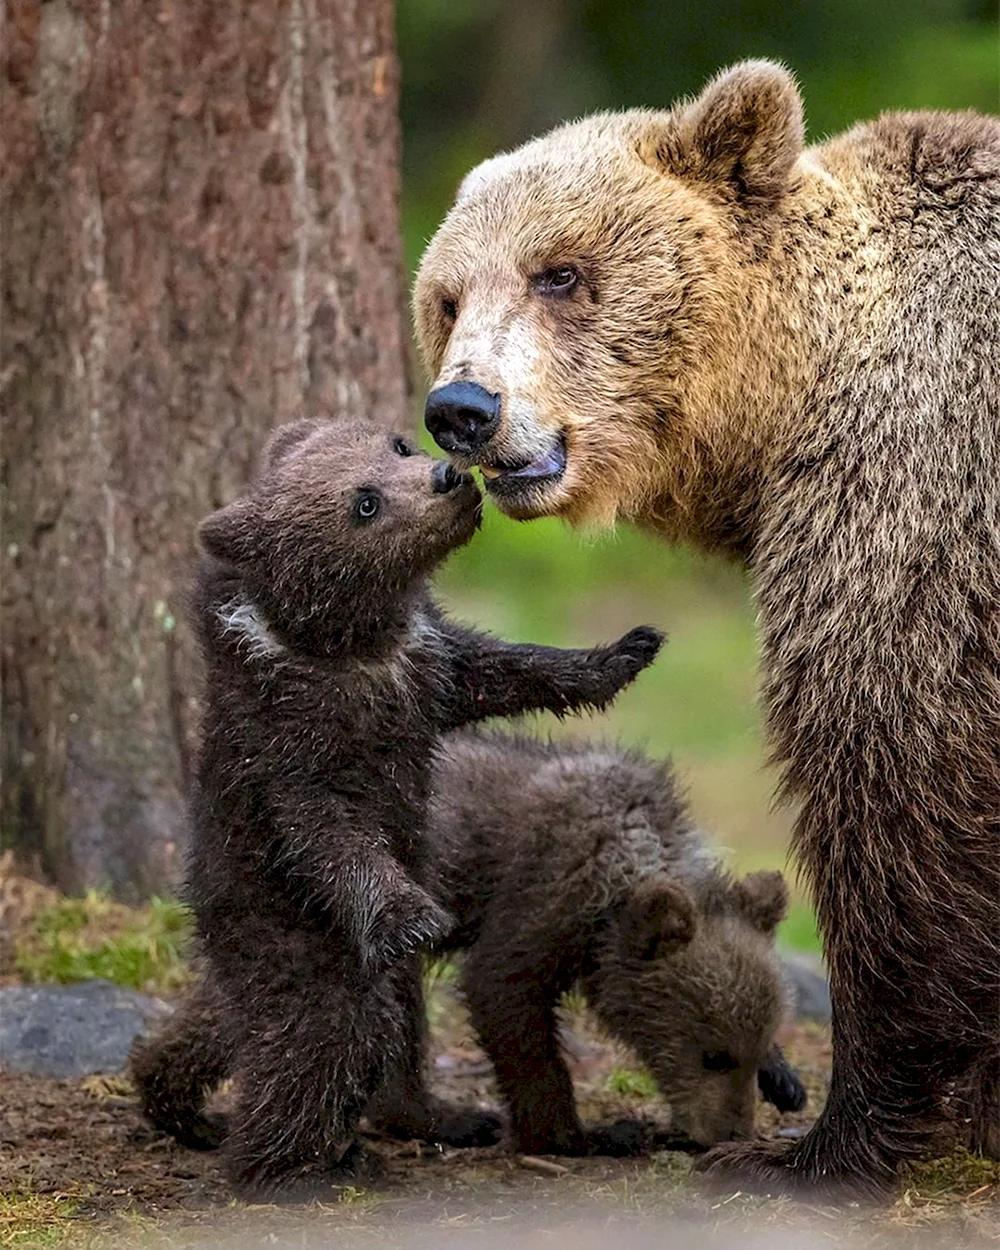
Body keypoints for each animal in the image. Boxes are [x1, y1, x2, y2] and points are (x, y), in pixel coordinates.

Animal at [412, 63, 1000, 1195]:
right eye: (448, 295)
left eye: (560, 272)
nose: (461, 408)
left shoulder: (913, 507)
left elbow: (895, 785)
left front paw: (828, 1136)